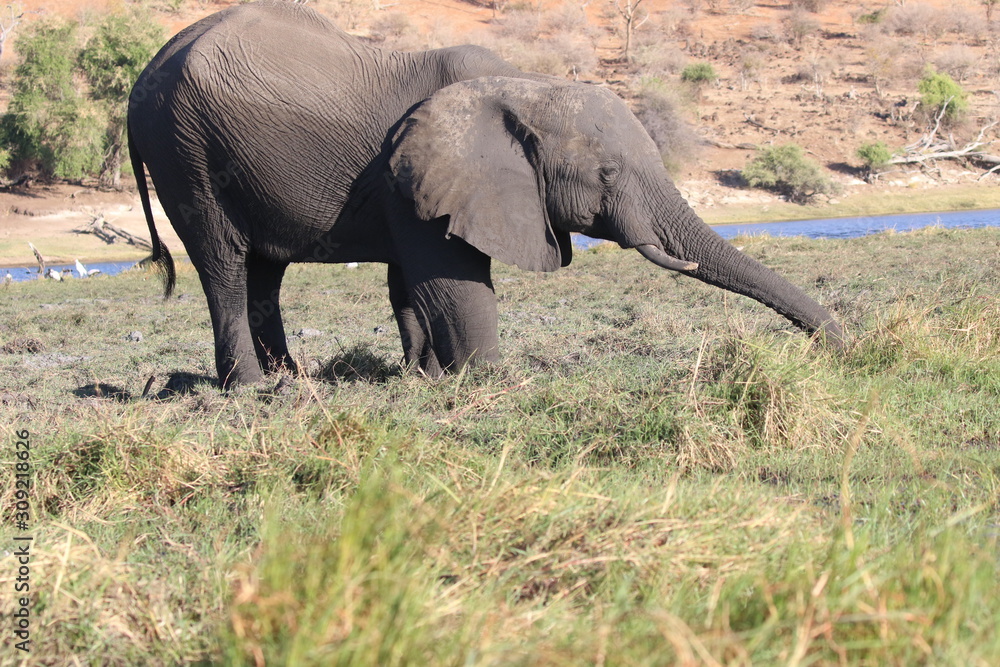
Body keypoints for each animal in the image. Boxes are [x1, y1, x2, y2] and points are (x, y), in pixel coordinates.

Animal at [128, 0, 844, 388]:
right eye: (608, 177)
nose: (840, 346)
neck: (525, 86)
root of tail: (148, 71)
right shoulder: (415, 172)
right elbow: (453, 279)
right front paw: (490, 381)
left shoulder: (411, 186)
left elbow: (411, 281)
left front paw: (425, 377)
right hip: (186, 152)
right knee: (225, 263)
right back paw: (253, 390)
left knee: (265, 270)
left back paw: (291, 380)